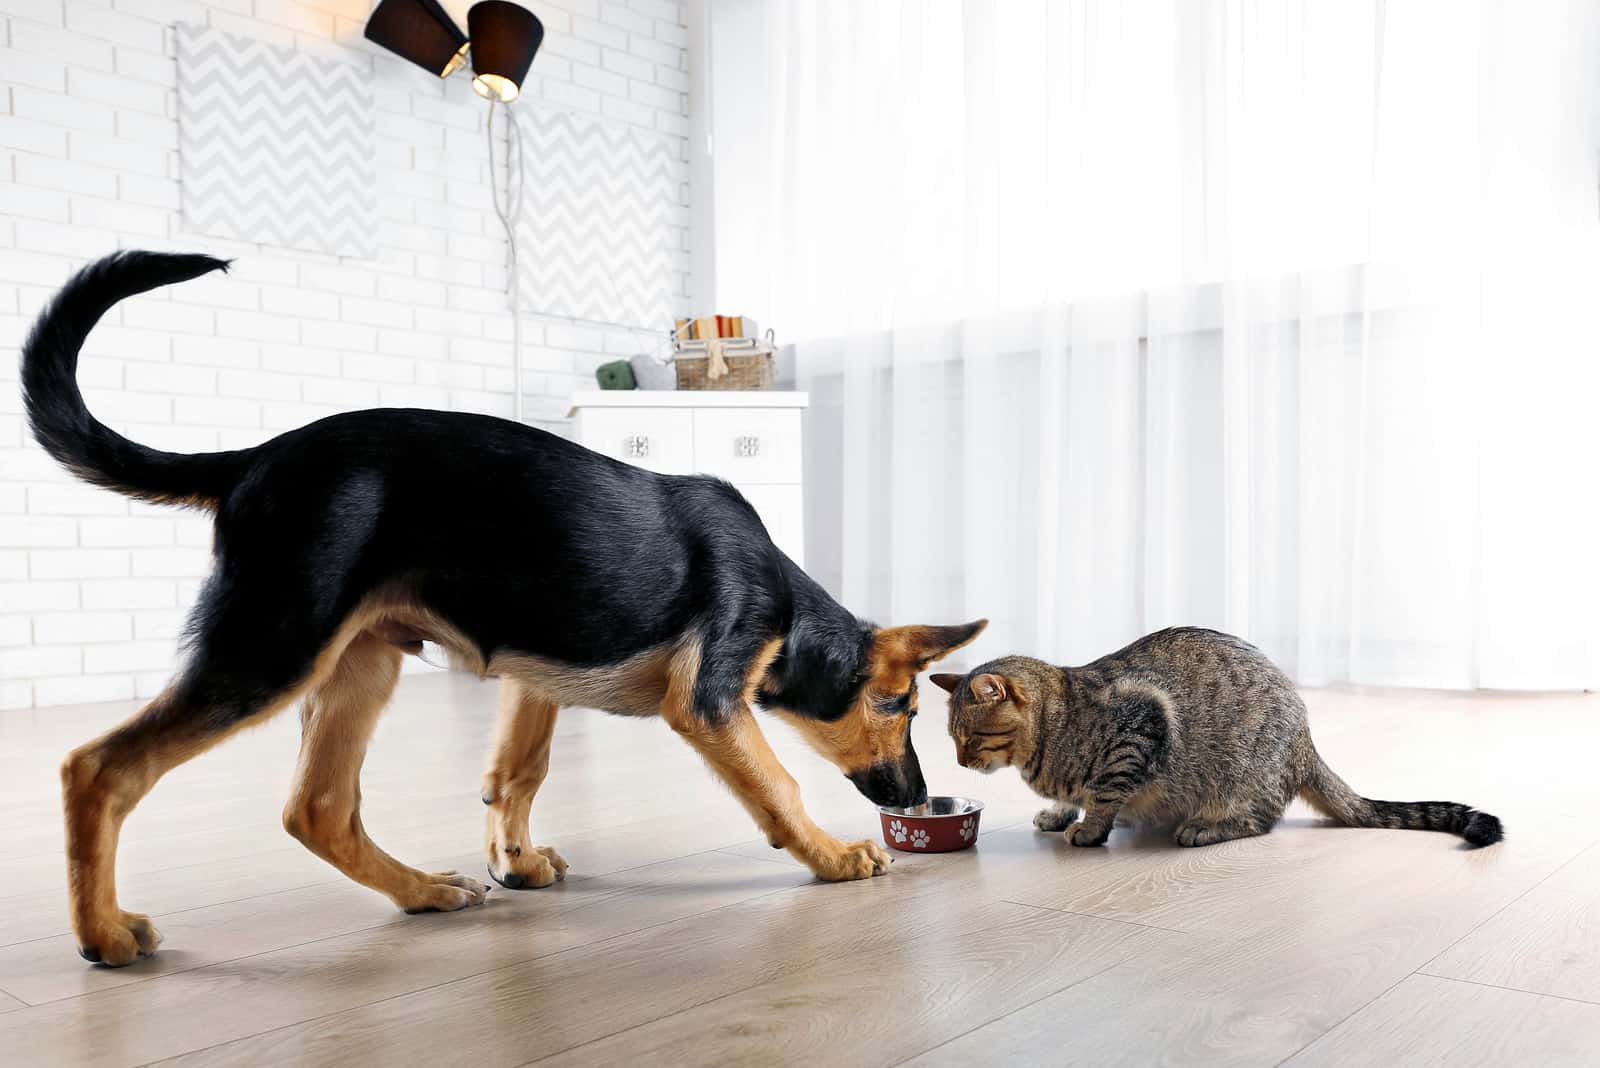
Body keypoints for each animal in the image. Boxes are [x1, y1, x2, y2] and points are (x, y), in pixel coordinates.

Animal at [18, 252, 979, 965]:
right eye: (899, 706)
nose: (918, 796)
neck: (785, 606)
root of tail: (254, 458)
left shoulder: (536, 674)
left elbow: (517, 773)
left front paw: (515, 863)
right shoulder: (706, 700)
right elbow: (777, 784)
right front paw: (833, 857)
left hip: (359, 660)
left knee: (316, 807)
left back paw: (424, 891)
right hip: (273, 645)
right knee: (99, 768)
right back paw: (103, 934)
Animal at [934, 629, 1504, 844]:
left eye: (971, 737)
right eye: (952, 739)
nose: (959, 763)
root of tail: (1306, 741)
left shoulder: (1142, 725)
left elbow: (1103, 794)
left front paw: (1089, 829)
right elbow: (1074, 796)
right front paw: (1058, 813)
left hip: (1243, 778)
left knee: (1261, 821)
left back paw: (1204, 828)